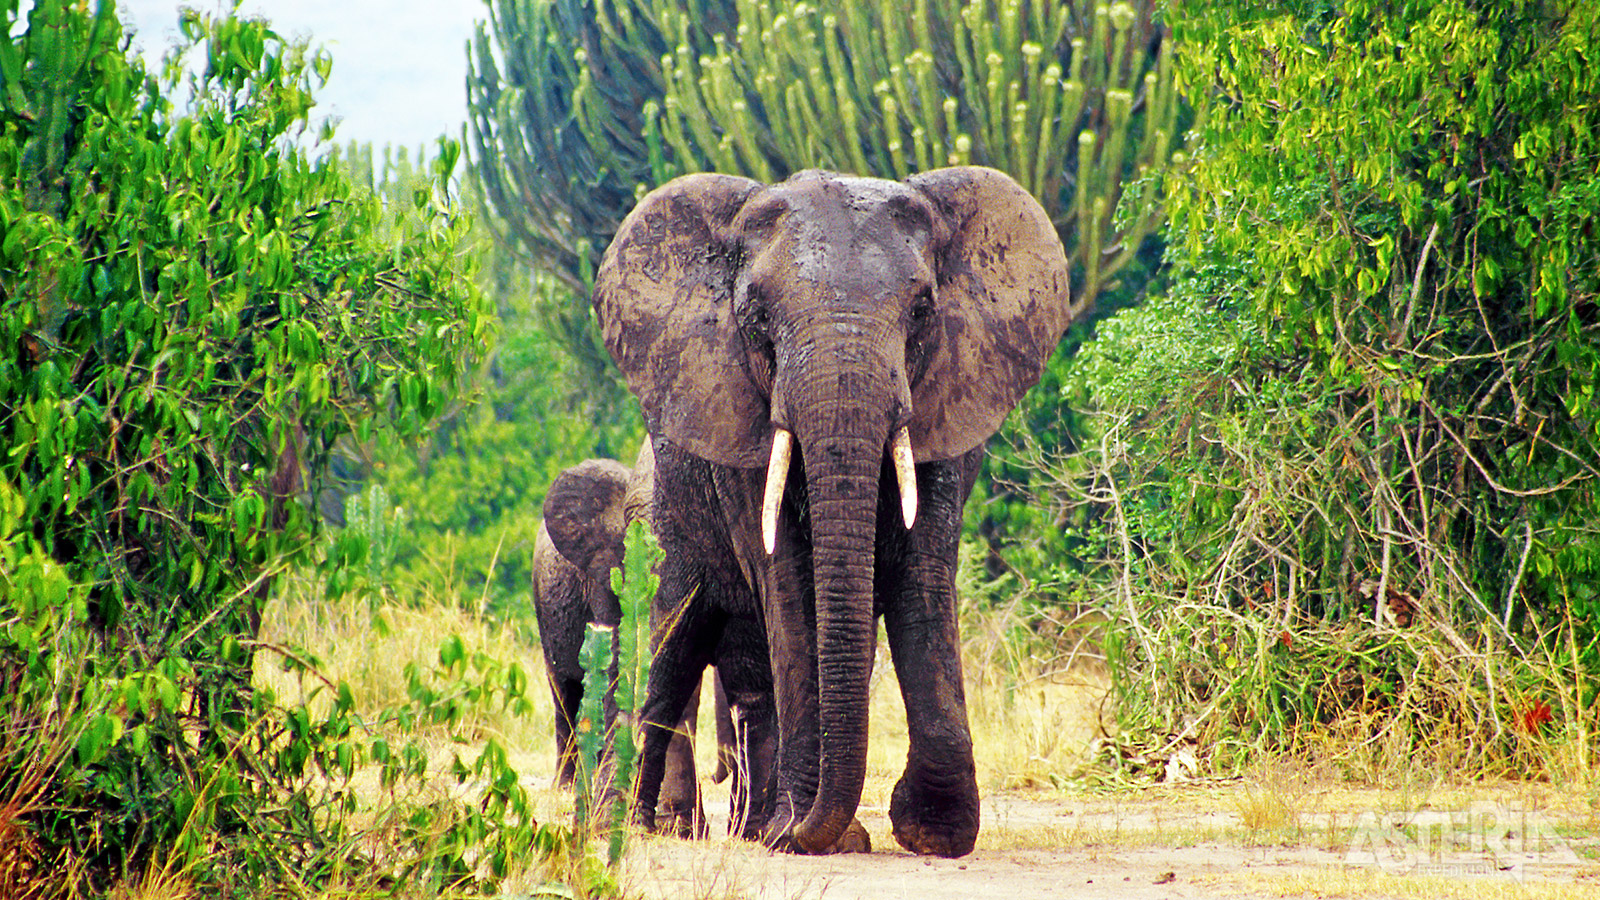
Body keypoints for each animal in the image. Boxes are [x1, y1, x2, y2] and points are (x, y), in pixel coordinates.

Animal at [595, 164, 1081, 851]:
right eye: (757, 319)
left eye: (922, 311)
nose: (808, 826)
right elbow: (791, 588)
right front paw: (804, 831)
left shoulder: (945, 405)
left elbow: (922, 575)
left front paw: (933, 832)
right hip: (659, 518)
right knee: (665, 651)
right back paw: (638, 824)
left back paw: (748, 827)